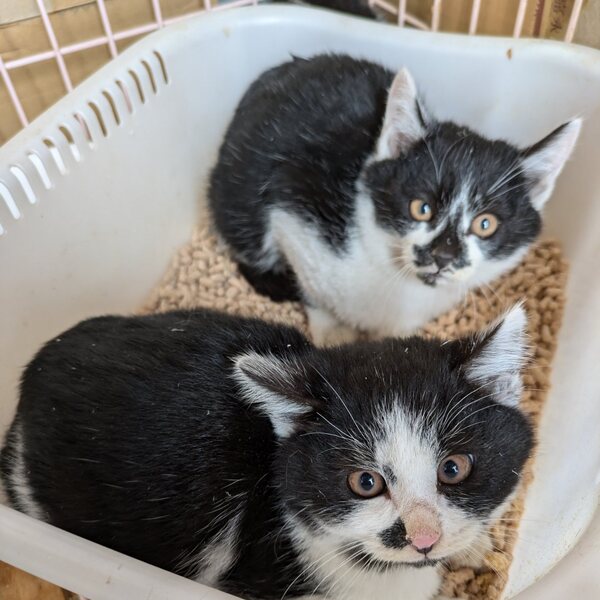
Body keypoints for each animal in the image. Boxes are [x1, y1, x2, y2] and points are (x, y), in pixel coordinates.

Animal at [209, 54, 580, 346]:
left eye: (485, 224)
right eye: (421, 208)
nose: (443, 255)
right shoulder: (292, 205)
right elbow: (314, 288)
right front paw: (333, 331)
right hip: (237, 192)